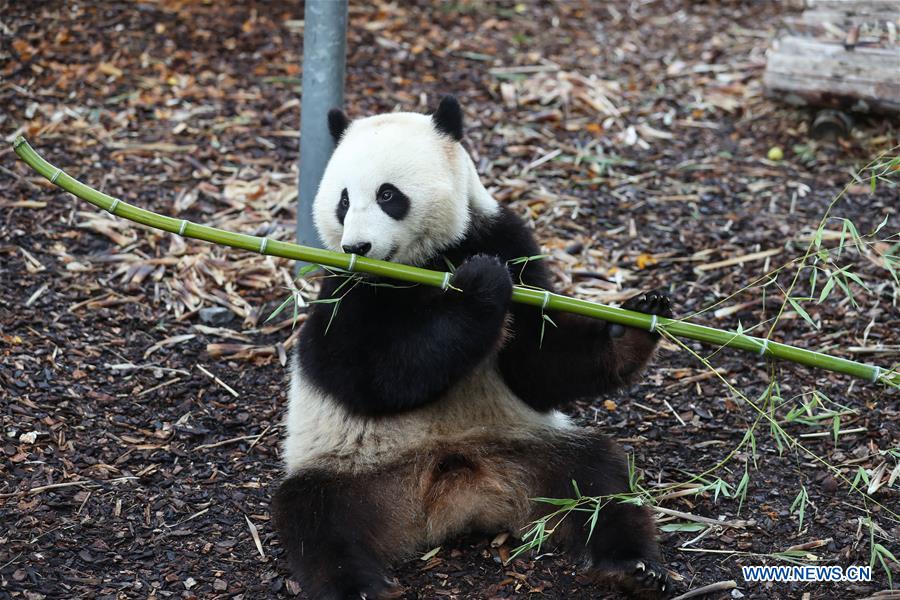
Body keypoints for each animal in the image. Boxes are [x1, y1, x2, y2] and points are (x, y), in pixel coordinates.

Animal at [274, 96, 676, 596]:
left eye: (388, 195)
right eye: (343, 200)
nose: (358, 247)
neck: (419, 264)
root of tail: (457, 495)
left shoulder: (504, 238)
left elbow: (538, 366)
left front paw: (635, 322)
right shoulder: (345, 286)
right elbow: (370, 376)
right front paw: (481, 287)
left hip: (531, 447)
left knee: (598, 482)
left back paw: (633, 567)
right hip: (350, 467)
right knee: (318, 521)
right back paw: (361, 587)